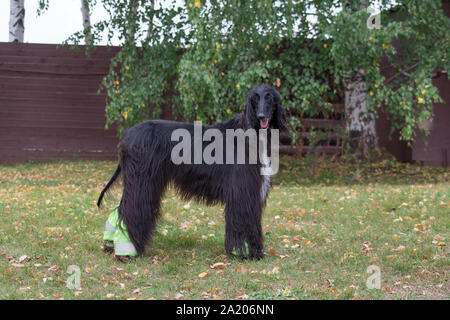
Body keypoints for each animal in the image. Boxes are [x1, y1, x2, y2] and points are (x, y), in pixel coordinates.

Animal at [98, 84, 288, 258]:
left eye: (269, 97)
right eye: (255, 98)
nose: (261, 116)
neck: (251, 135)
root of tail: (127, 136)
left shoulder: (253, 191)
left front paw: (255, 252)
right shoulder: (242, 190)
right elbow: (242, 220)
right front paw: (242, 253)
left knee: (122, 210)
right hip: (142, 180)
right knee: (130, 212)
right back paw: (127, 251)